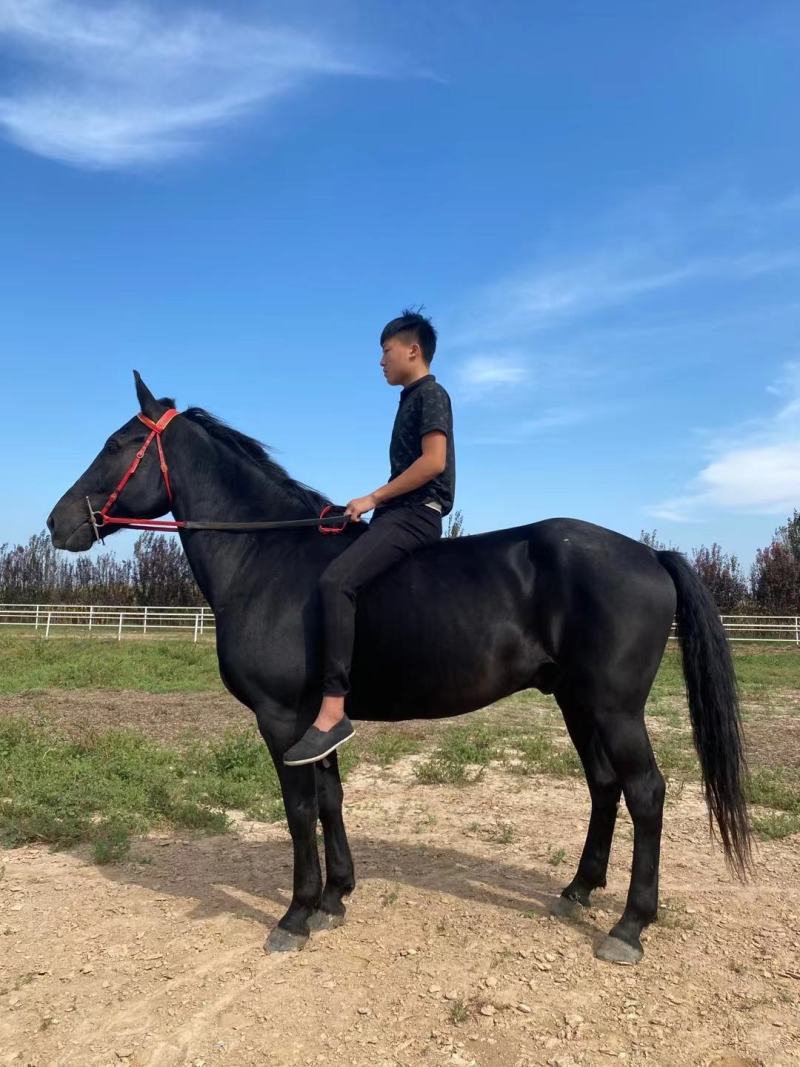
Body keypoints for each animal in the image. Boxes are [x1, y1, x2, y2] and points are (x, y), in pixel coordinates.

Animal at [47, 372, 751, 964]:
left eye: (117, 443)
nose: (58, 523)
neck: (267, 558)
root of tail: (651, 554)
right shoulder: (314, 724)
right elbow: (330, 799)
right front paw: (335, 897)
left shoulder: (280, 719)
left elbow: (299, 811)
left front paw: (295, 914)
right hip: (577, 702)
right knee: (605, 787)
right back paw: (578, 890)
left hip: (614, 707)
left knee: (645, 792)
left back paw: (629, 926)